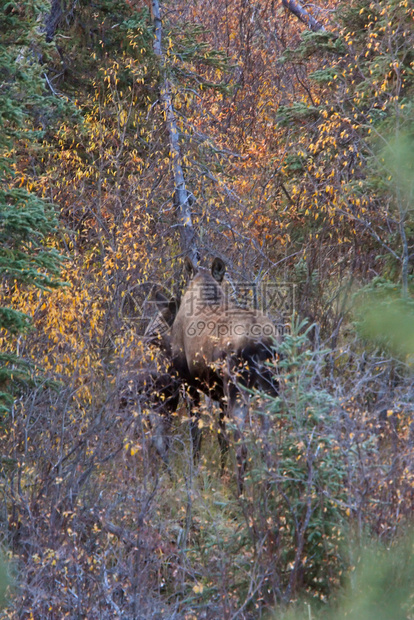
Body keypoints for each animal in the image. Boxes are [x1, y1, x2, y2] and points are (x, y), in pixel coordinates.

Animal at [157, 254, 280, 492]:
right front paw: (220, 472)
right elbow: (221, 437)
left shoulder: (188, 382)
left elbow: (196, 433)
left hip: (237, 389)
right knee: (268, 445)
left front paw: (195, 471)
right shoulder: (219, 396)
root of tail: (262, 344)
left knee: (243, 446)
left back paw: (241, 494)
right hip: (270, 389)